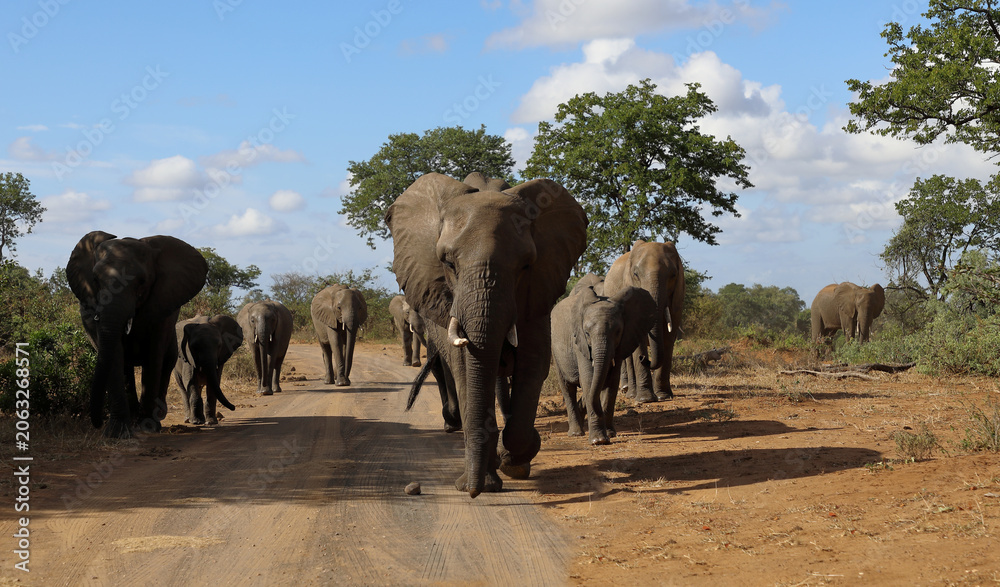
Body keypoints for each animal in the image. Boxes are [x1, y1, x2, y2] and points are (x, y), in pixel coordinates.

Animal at [67, 231, 208, 438]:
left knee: (166, 363)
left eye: (142, 282)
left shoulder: (162, 308)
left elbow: (153, 355)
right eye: (95, 280)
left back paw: (157, 415)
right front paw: (116, 432)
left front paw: (148, 427)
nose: (97, 423)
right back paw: (133, 418)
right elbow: (115, 354)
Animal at [387, 171, 587, 497]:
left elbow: (533, 364)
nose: (472, 492)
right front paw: (483, 480)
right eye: (448, 263)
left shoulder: (537, 291)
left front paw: (515, 461)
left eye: (526, 265)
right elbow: (464, 367)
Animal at [551, 275, 656, 445]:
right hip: (555, 350)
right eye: (587, 333)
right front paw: (598, 441)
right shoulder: (580, 343)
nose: (642, 358)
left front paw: (610, 434)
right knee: (567, 388)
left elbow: (611, 383)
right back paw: (576, 433)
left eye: (618, 331)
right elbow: (589, 380)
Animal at [603, 239, 685, 403]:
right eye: (635, 274)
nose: (644, 359)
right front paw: (645, 399)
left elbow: (668, 338)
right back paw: (631, 393)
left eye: (673, 275)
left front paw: (663, 396)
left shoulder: (677, 297)